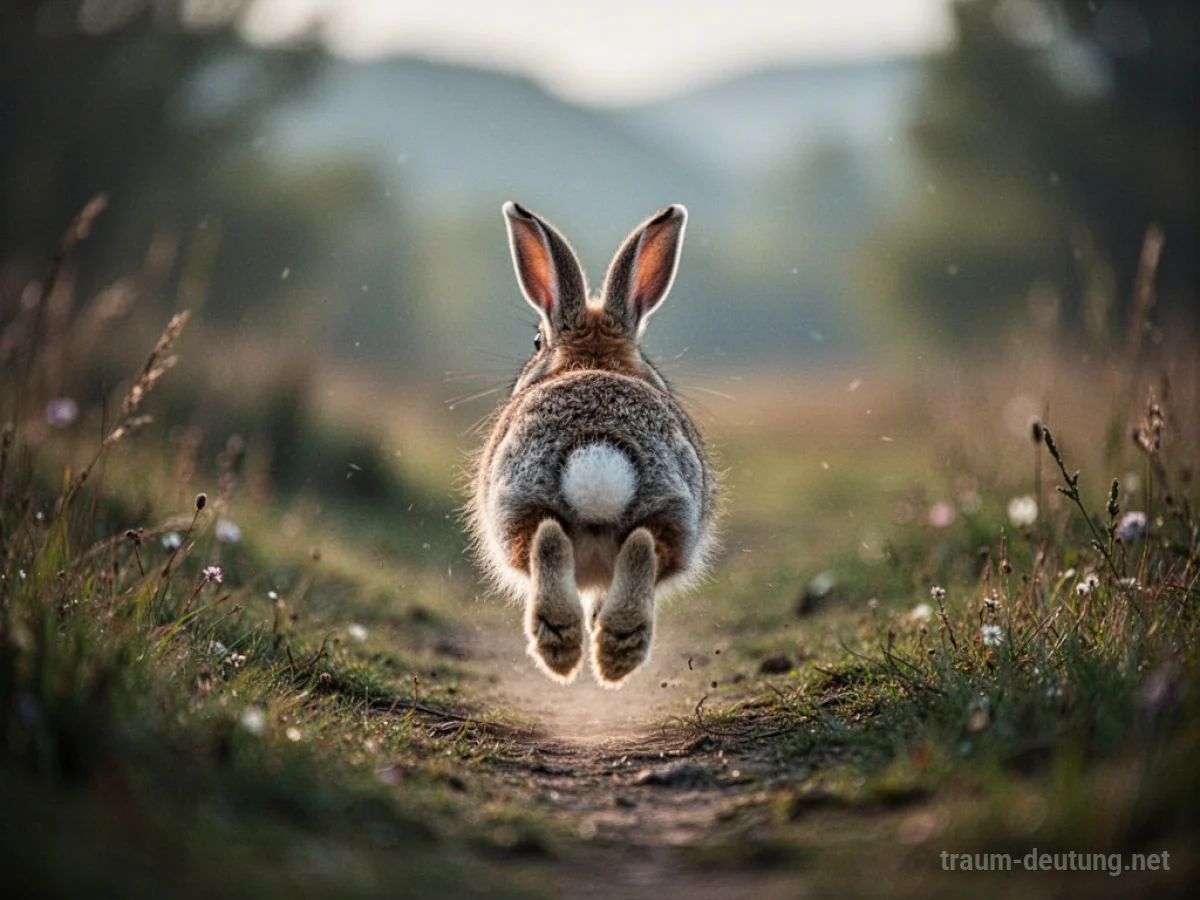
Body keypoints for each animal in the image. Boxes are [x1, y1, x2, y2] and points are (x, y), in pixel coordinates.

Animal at [468, 201, 718, 687]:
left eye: (537, 341)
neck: (592, 360)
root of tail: (597, 450)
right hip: (670, 507)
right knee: (635, 543)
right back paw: (608, 645)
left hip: (515, 503)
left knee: (552, 539)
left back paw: (573, 650)